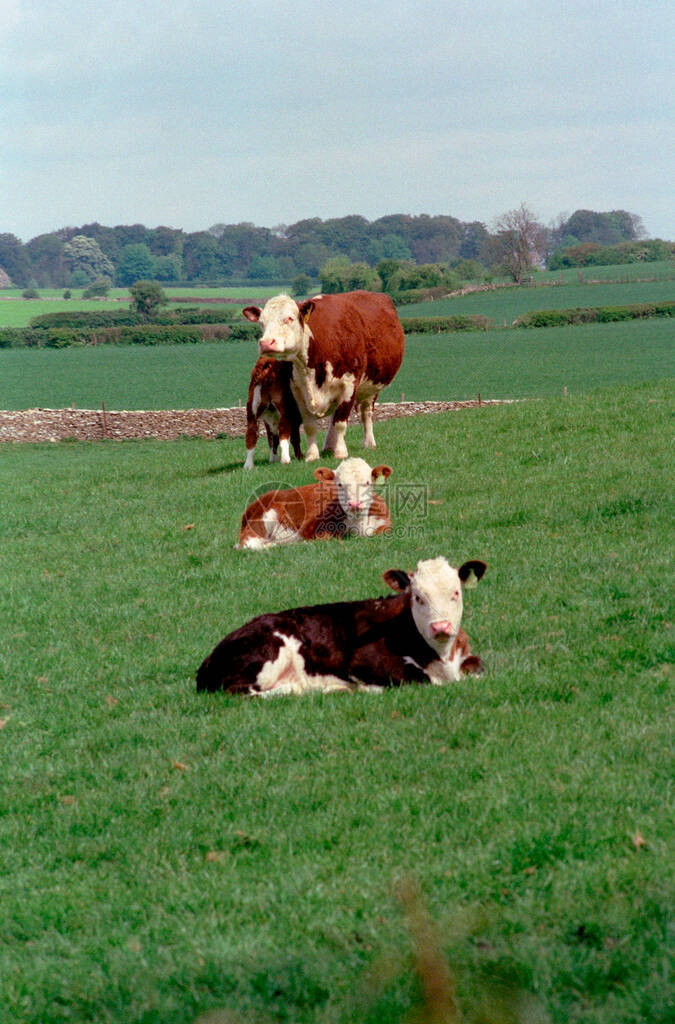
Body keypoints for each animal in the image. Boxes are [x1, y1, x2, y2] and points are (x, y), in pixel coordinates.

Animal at [195, 557, 485, 700]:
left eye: (456, 592)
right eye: (418, 597)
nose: (441, 626)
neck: (441, 657)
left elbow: (477, 667)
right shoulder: (361, 662)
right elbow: (420, 678)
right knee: (242, 691)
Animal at [241, 290, 403, 462]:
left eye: (289, 318)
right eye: (261, 322)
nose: (266, 343)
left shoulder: (349, 385)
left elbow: (341, 422)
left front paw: (341, 452)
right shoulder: (298, 390)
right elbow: (310, 426)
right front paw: (312, 455)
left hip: (372, 387)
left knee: (366, 413)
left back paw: (368, 443)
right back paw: (329, 446)